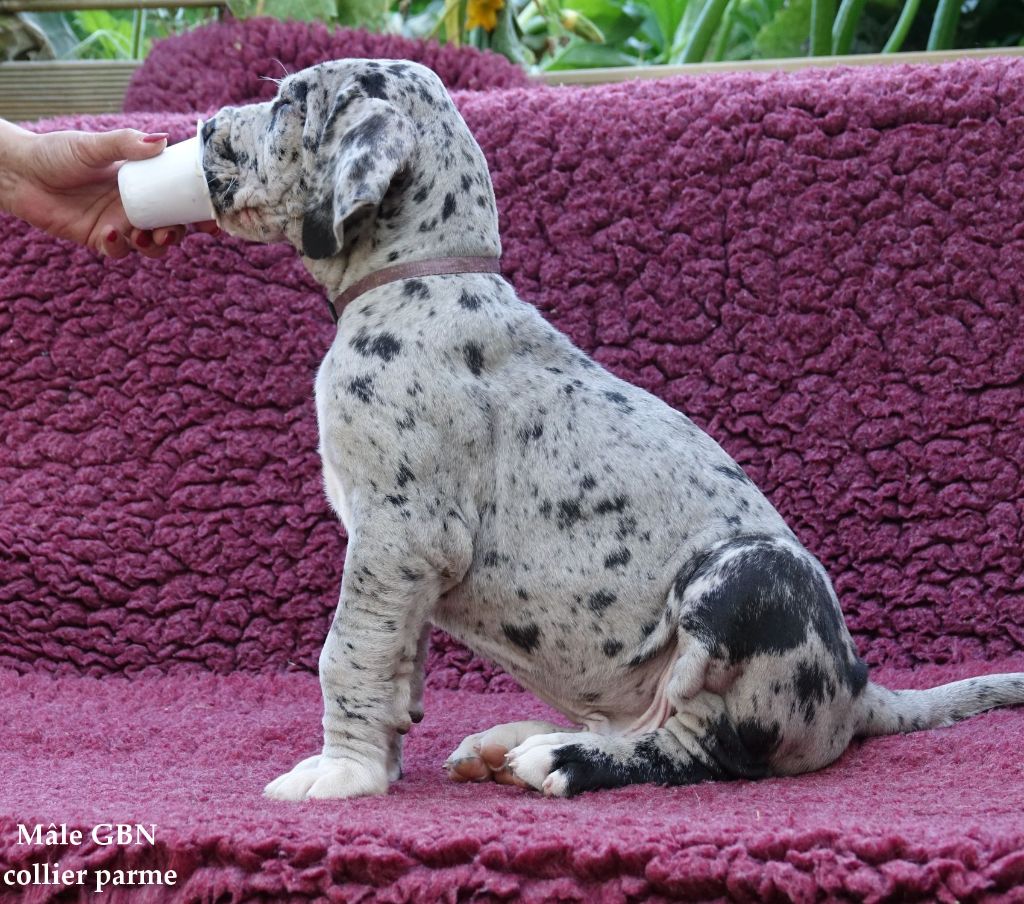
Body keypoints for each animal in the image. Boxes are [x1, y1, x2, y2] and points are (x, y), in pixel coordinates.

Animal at [200, 59, 1024, 800]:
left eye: (286, 105)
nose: (205, 126)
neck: (424, 273)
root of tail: (858, 689)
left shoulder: (400, 536)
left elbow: (349, 653)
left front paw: (343, 772)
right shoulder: (403, 566)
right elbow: (401, 659)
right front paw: (380, 756)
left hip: (747, 575)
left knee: (703, 746)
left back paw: (564, 758)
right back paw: (517, 743)